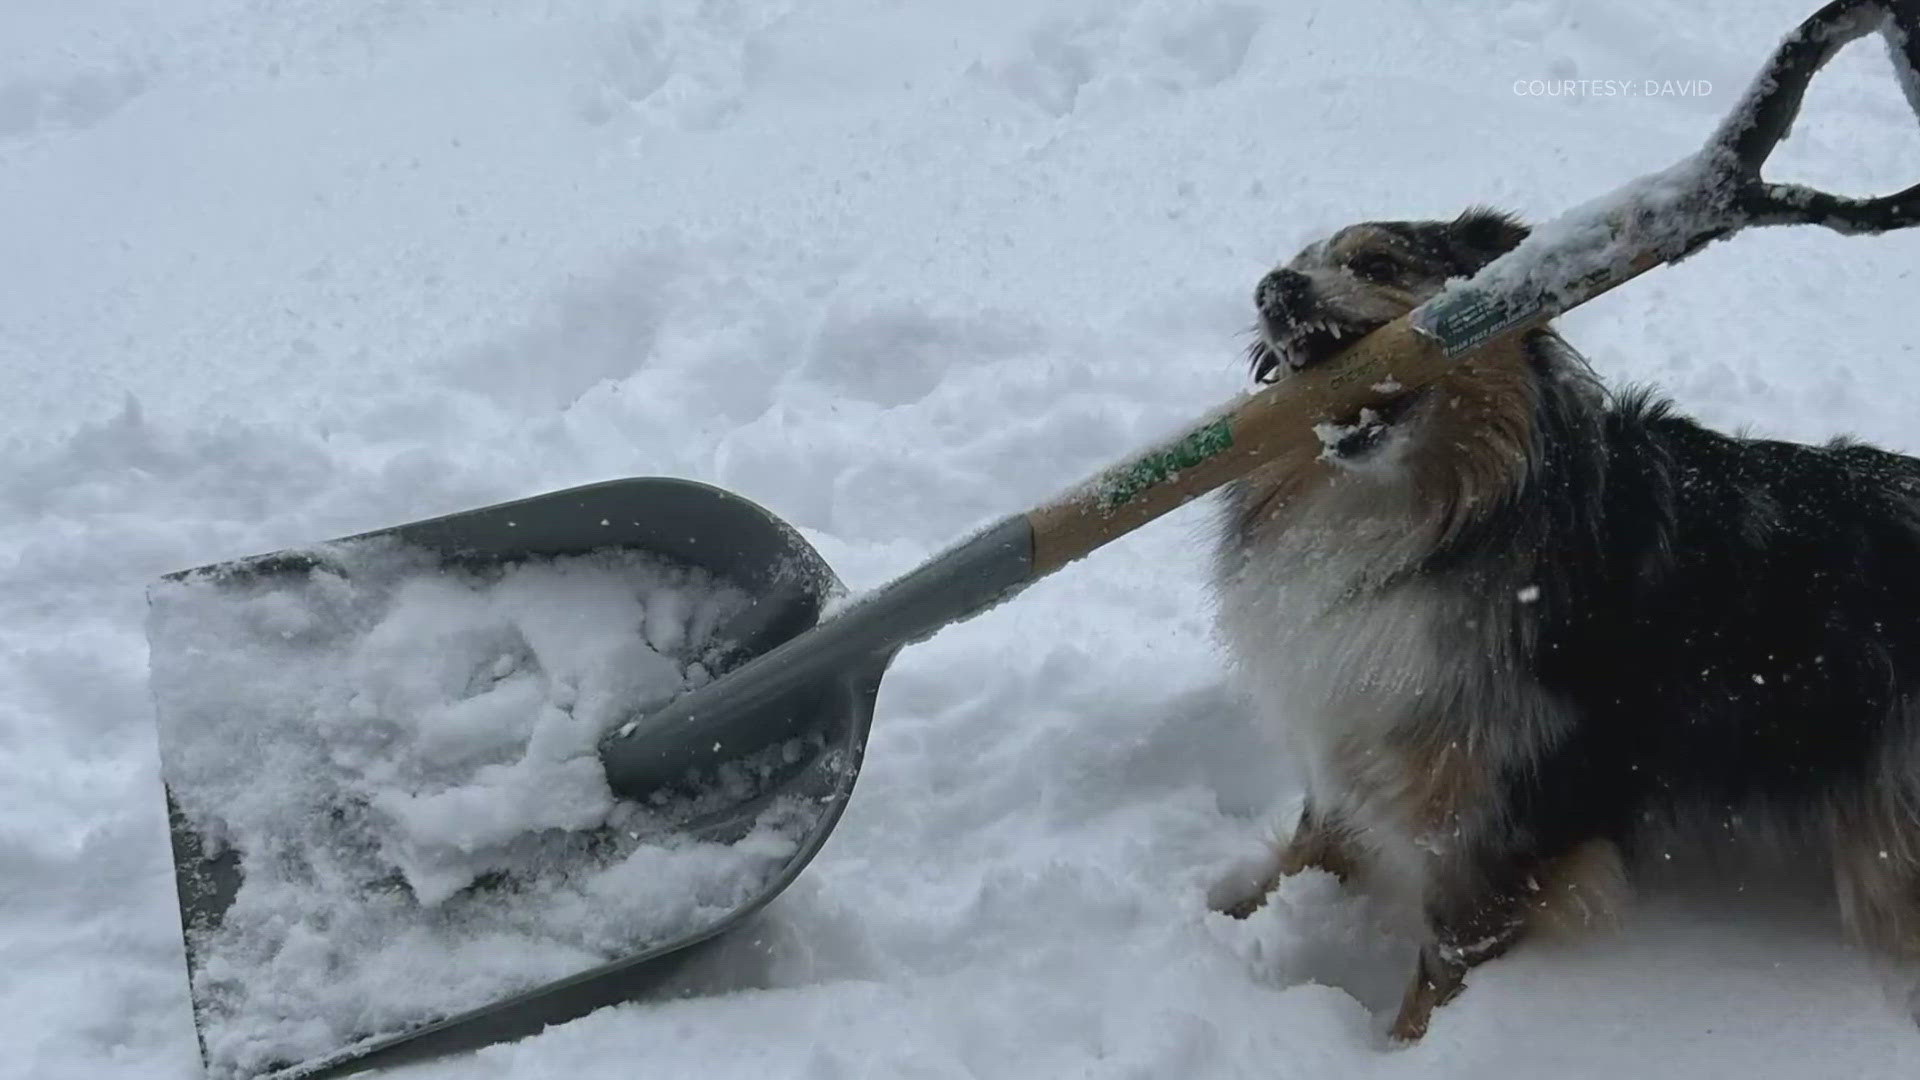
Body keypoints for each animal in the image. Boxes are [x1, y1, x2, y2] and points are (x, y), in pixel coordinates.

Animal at [1213, 205, 1920, 1037]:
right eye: (1291, 269)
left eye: (1377, 264)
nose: (1274, 289)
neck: (1423, 526)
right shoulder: (1358, 734)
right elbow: (1310, 841)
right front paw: (1224, 919)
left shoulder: (1498, 806)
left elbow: (1445, 958)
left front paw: (1408, 1047)